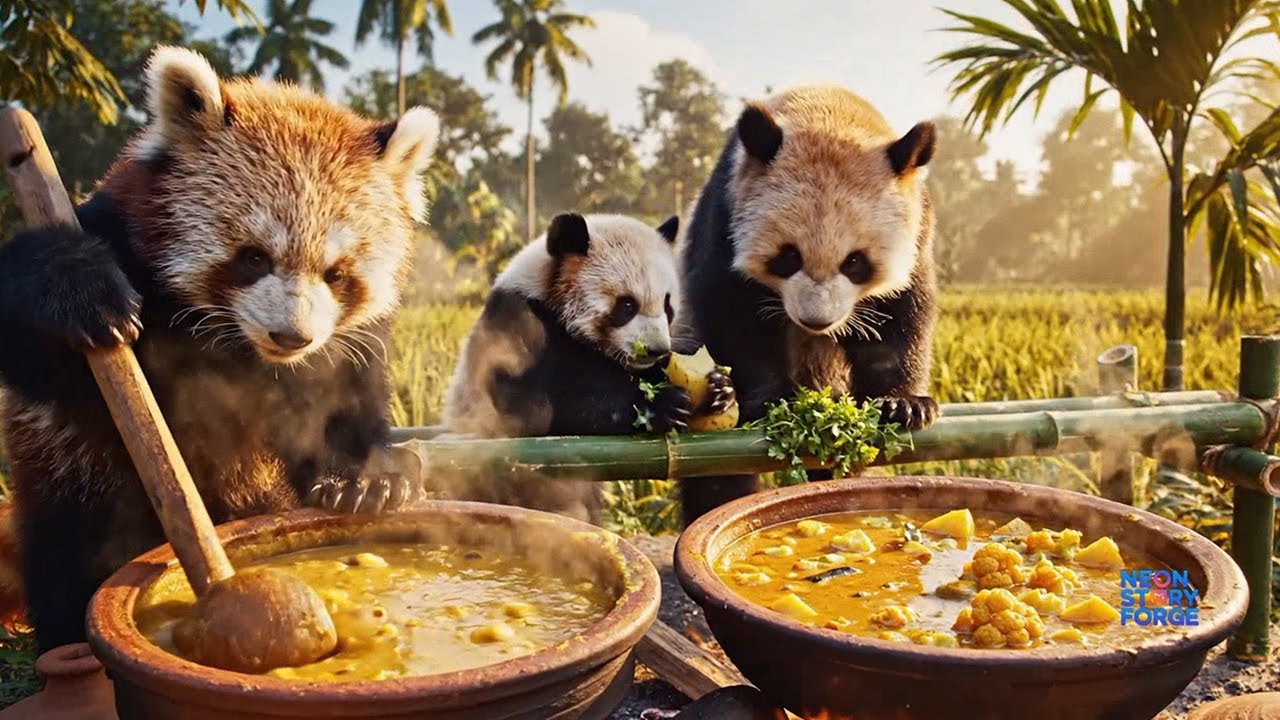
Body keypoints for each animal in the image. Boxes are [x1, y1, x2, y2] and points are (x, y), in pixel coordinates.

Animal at [0, 46, 437, 652]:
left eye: (336, 274)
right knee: (64, 552)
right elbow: (38, 353)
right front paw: (78, 285)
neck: (240, 348)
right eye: (253, 258)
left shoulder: (345, 347)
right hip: (69, 479)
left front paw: (368, 478)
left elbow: (343, 402)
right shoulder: (119, 238)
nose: (292, 337)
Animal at [442, 212, 735, 522]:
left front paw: (720, 390)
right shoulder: (517, 328)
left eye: (668, 306)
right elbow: (534, 411)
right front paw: (661, 405)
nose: (656, 349)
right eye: (627, 305)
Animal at [676, 85, 940, 523]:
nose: (816, 320)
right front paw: (774, 399)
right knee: (717, 475)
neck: (825, 111)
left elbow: (902, 314)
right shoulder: (726, 214)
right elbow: (732, 313)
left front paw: (904, 405)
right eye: (788, 256)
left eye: (855, 262)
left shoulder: (917, 229)